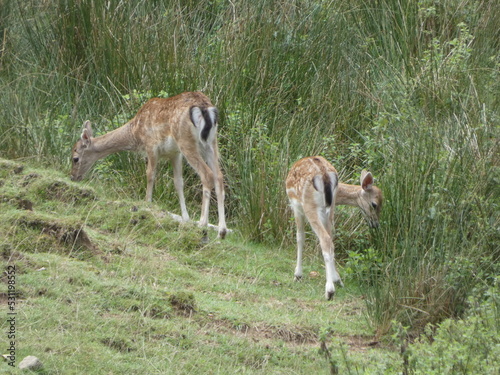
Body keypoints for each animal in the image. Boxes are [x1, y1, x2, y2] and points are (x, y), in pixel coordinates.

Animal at [70, 91, 227, 238]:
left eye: (75, 158)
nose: (73, 177)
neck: (136, 132)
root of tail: (205, 109)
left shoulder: (151, 145)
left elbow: (150, 175)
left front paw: (147, 203)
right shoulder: (175, 153)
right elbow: (178, 183)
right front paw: (186, 218)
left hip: (186, 141)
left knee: (207, 174)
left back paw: (203, 223)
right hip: (210, 143)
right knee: (219, 176)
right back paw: (222, 231)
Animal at [286, 156, 382, 300]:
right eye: (375, 204)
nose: (376, 224)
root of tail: (325, 175)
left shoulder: (296, 206)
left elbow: (300, 237)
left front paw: (298, 275)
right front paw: (337, 278)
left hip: (309, 205)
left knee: (325, 239)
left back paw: (329, 291)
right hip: (330, 209)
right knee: (330, 240)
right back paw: (335, 282)